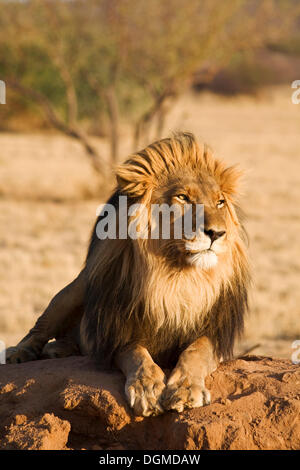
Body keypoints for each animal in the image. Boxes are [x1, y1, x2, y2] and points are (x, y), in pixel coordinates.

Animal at [5, 133, 251, 418]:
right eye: (182, 197)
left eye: (220, 202)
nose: (217, 233)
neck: (175, 278)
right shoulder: (117, 330)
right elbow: (136, 353)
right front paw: (147, 388)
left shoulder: (214, 333)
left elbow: (197, 351)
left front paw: (187, 389)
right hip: (75, 289)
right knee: (39, 328)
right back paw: (20, 352)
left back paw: (58, 349)